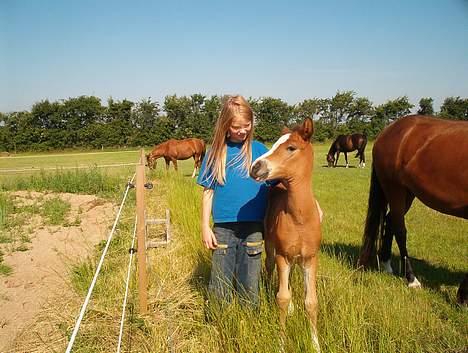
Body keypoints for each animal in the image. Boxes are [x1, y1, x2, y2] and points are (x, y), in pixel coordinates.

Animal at [250, 117, 324, 350]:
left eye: (291, 147)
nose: (255, 167)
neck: (300, 218)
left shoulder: (310, 258)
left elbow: (311, 302)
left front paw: (316, 345)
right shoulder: (283, 255)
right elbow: (281, 298)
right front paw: (281, 344)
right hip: (274, 251)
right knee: (271, 269)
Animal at [356, 115, 466, 302]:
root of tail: (388, 130)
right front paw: (462, 297)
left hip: (408, 193)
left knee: (390, 221)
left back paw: (386, 265)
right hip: (395, 189)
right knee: (400, 229)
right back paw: (411, 280)